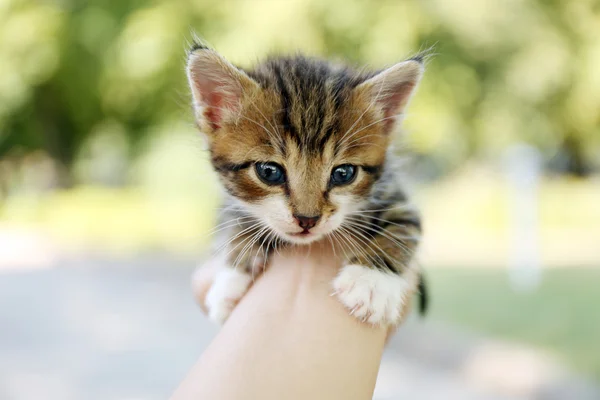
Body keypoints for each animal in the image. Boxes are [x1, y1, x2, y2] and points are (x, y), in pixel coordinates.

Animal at [188, 42, 426, 326]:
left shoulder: (392, 190)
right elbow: (233, 221)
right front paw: (231, 278)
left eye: (344, 173)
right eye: (269, 172)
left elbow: (403, 225)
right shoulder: (229, 201)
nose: (307, 219)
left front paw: (371, 283)